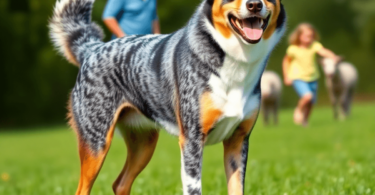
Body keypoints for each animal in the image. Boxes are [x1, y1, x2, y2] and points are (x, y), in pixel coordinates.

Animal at [49, 0, 284, 193]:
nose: (254, 4)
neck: (237, 61)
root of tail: (92, 48)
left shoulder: (238, 141)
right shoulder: (192, 141)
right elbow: (194, 188)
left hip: (144, 145)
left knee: (120, 184)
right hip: (96, 144)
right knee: (84, 189)